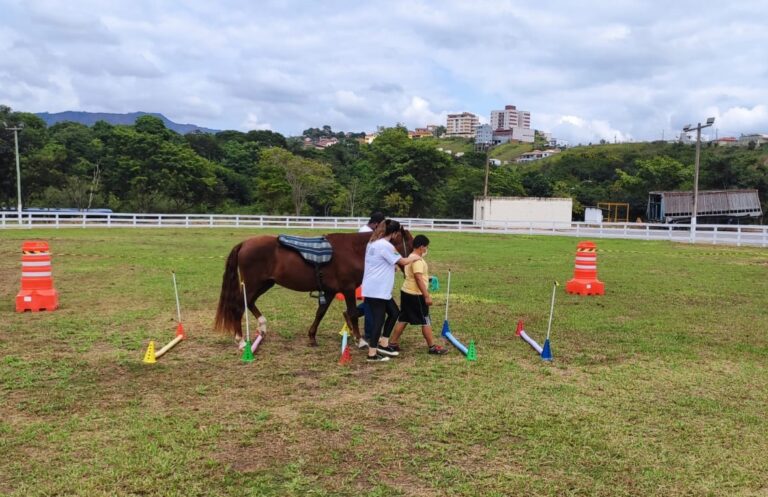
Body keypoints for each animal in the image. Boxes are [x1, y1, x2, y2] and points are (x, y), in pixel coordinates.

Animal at [213, 229, 414, 344]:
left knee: (249, 303)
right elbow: (352, 313)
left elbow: (320, 313)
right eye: (411, 244)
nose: (411, 265)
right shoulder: (348, 289)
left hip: (264, 284)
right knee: (239, 306)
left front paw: (311, 336)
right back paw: (240, 340)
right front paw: (360, 341)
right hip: (253, 284)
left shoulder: (330, 291)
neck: (352, 250)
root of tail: (244, 244)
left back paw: (262, 326)